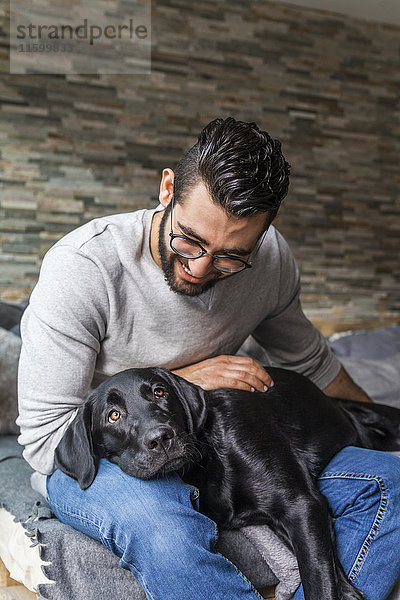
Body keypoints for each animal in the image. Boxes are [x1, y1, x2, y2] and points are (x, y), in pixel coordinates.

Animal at [54, 366, 400, 600]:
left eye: (159, 393)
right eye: (113, 416)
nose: (161, 438)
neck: (208, 459)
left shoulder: (301, 505)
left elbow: (318, 575)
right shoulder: (297, 516)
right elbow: (325, 566)